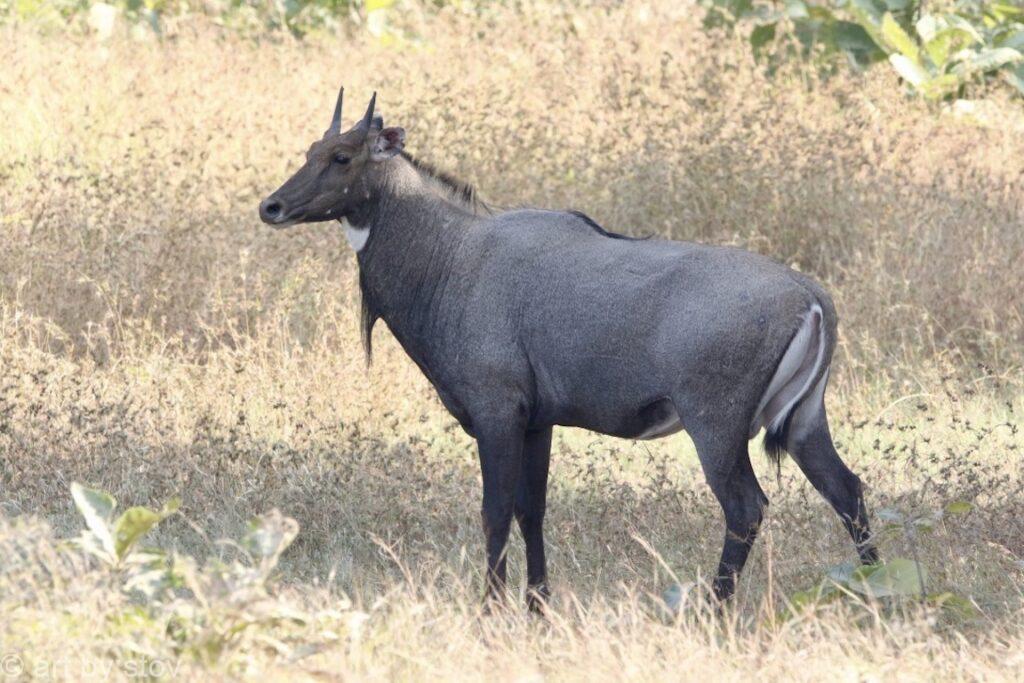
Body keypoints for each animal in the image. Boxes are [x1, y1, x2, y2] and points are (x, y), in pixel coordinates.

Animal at [260, 89, 876, 610]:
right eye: (310, 150)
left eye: (342, 157)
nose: (272, 207)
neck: (451, 257)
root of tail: (811, 296)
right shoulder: (538, 421)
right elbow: (532, 511)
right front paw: (538, 605)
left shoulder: (497, 412)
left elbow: (494, 512)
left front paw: (490, 610)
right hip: (804, 420)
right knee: (847, 490)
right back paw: (877, 593)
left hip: (714, 424)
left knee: (746, 507)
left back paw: (715, 608)